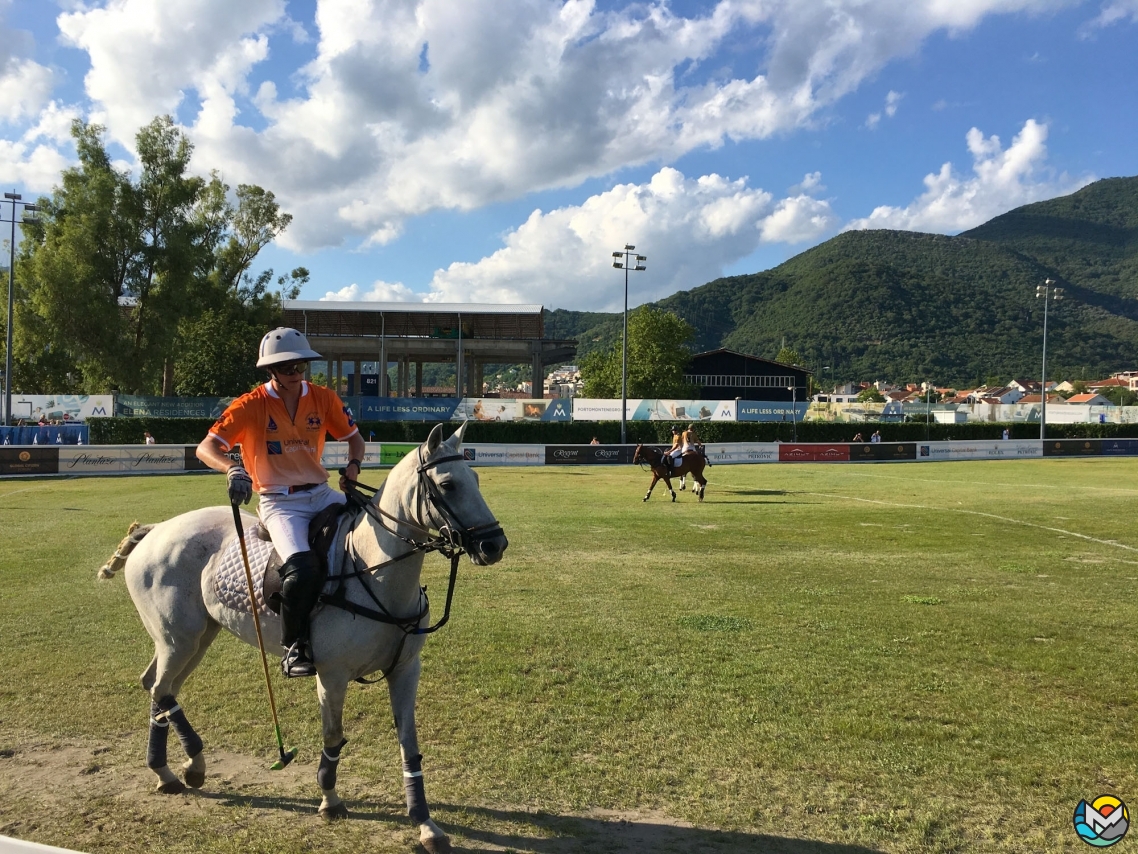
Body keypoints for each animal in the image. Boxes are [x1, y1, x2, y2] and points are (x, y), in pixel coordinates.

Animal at [97, 425, 507, 851]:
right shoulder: (332, 675)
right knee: (161, 687)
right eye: (447, 484)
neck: (374, 570)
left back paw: (177, 769)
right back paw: (180, 767)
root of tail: (157, 529)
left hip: (196, 637)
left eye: (476, 479)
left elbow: (409, 746)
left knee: (158, 687)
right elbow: (333, 736)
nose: (494, 544)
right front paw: (330, 800)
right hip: (178, 638)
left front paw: (426, 824)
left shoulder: (406, 669)